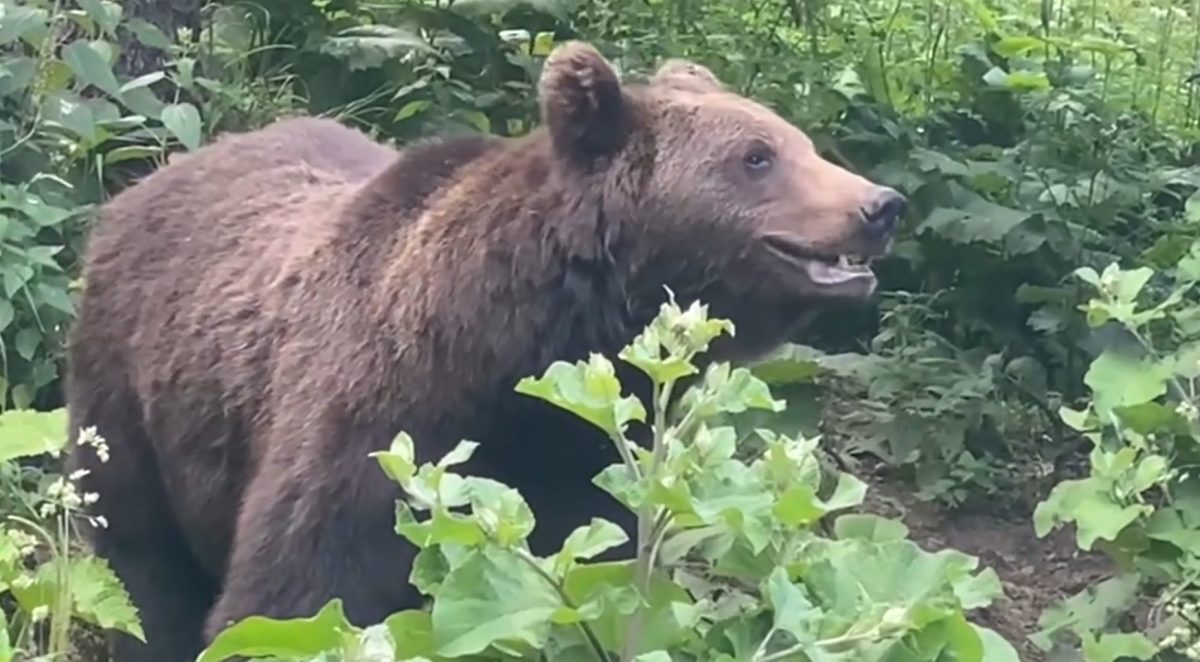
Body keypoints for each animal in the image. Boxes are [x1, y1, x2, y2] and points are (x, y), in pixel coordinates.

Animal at [65, 42, 902, 662]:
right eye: (757, 156)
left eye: (797, 141)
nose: (880, 205)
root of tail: (148, 181)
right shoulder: (369, 430)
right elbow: (292, 599)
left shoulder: (582, 462)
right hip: (128, 388)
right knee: (139, 559)